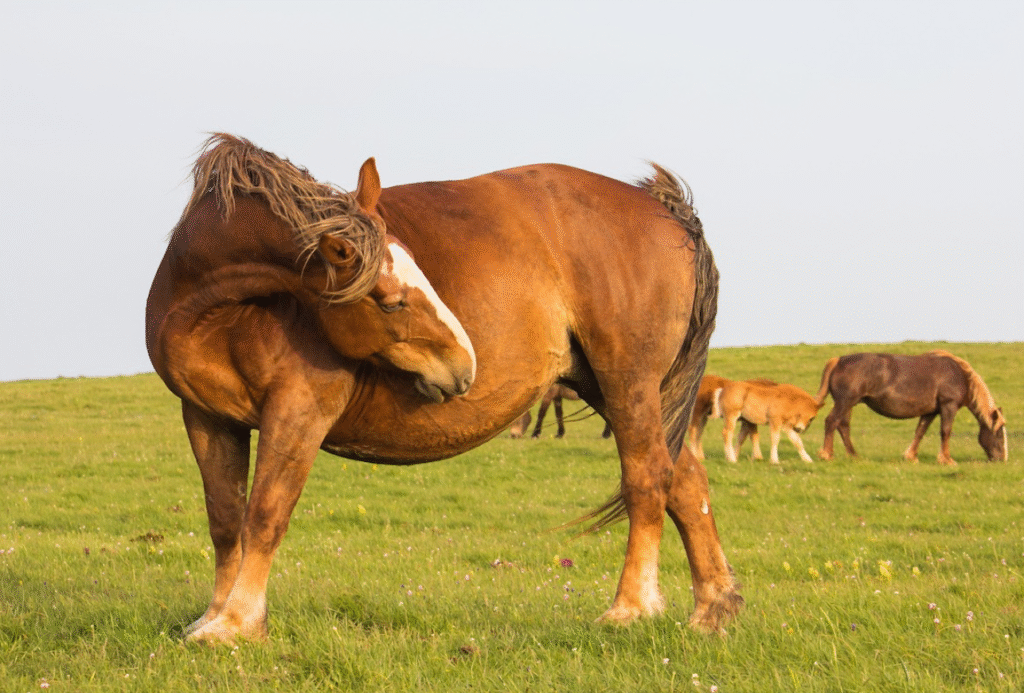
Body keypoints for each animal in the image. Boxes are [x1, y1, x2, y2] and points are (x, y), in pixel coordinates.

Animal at [146, 134, 742, 644]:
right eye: (391, 301)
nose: (464, 366)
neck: (223, 315)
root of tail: (665, 210)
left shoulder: (298, 412)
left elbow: (266, 515)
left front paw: (238, 624)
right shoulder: (207, 418)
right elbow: (226, 520)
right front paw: (212, 617)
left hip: (627, 382)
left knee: (648, 479)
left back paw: (631, 608)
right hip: (612, 389)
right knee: (685, 482)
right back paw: (711, 610)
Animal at [815, 351, 1008, 465]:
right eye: (999, 434)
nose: (1002, 459)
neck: (960, 375)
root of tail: (838, 361)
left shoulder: (930, 412)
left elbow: (920, 431)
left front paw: (911, 456)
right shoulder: (948, 406)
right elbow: (945, 431)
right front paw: (946, 459)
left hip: (849, 404)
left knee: (843, 426)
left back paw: (854, 456)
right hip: (845, 402)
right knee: (831, 422)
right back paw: (826, 454)